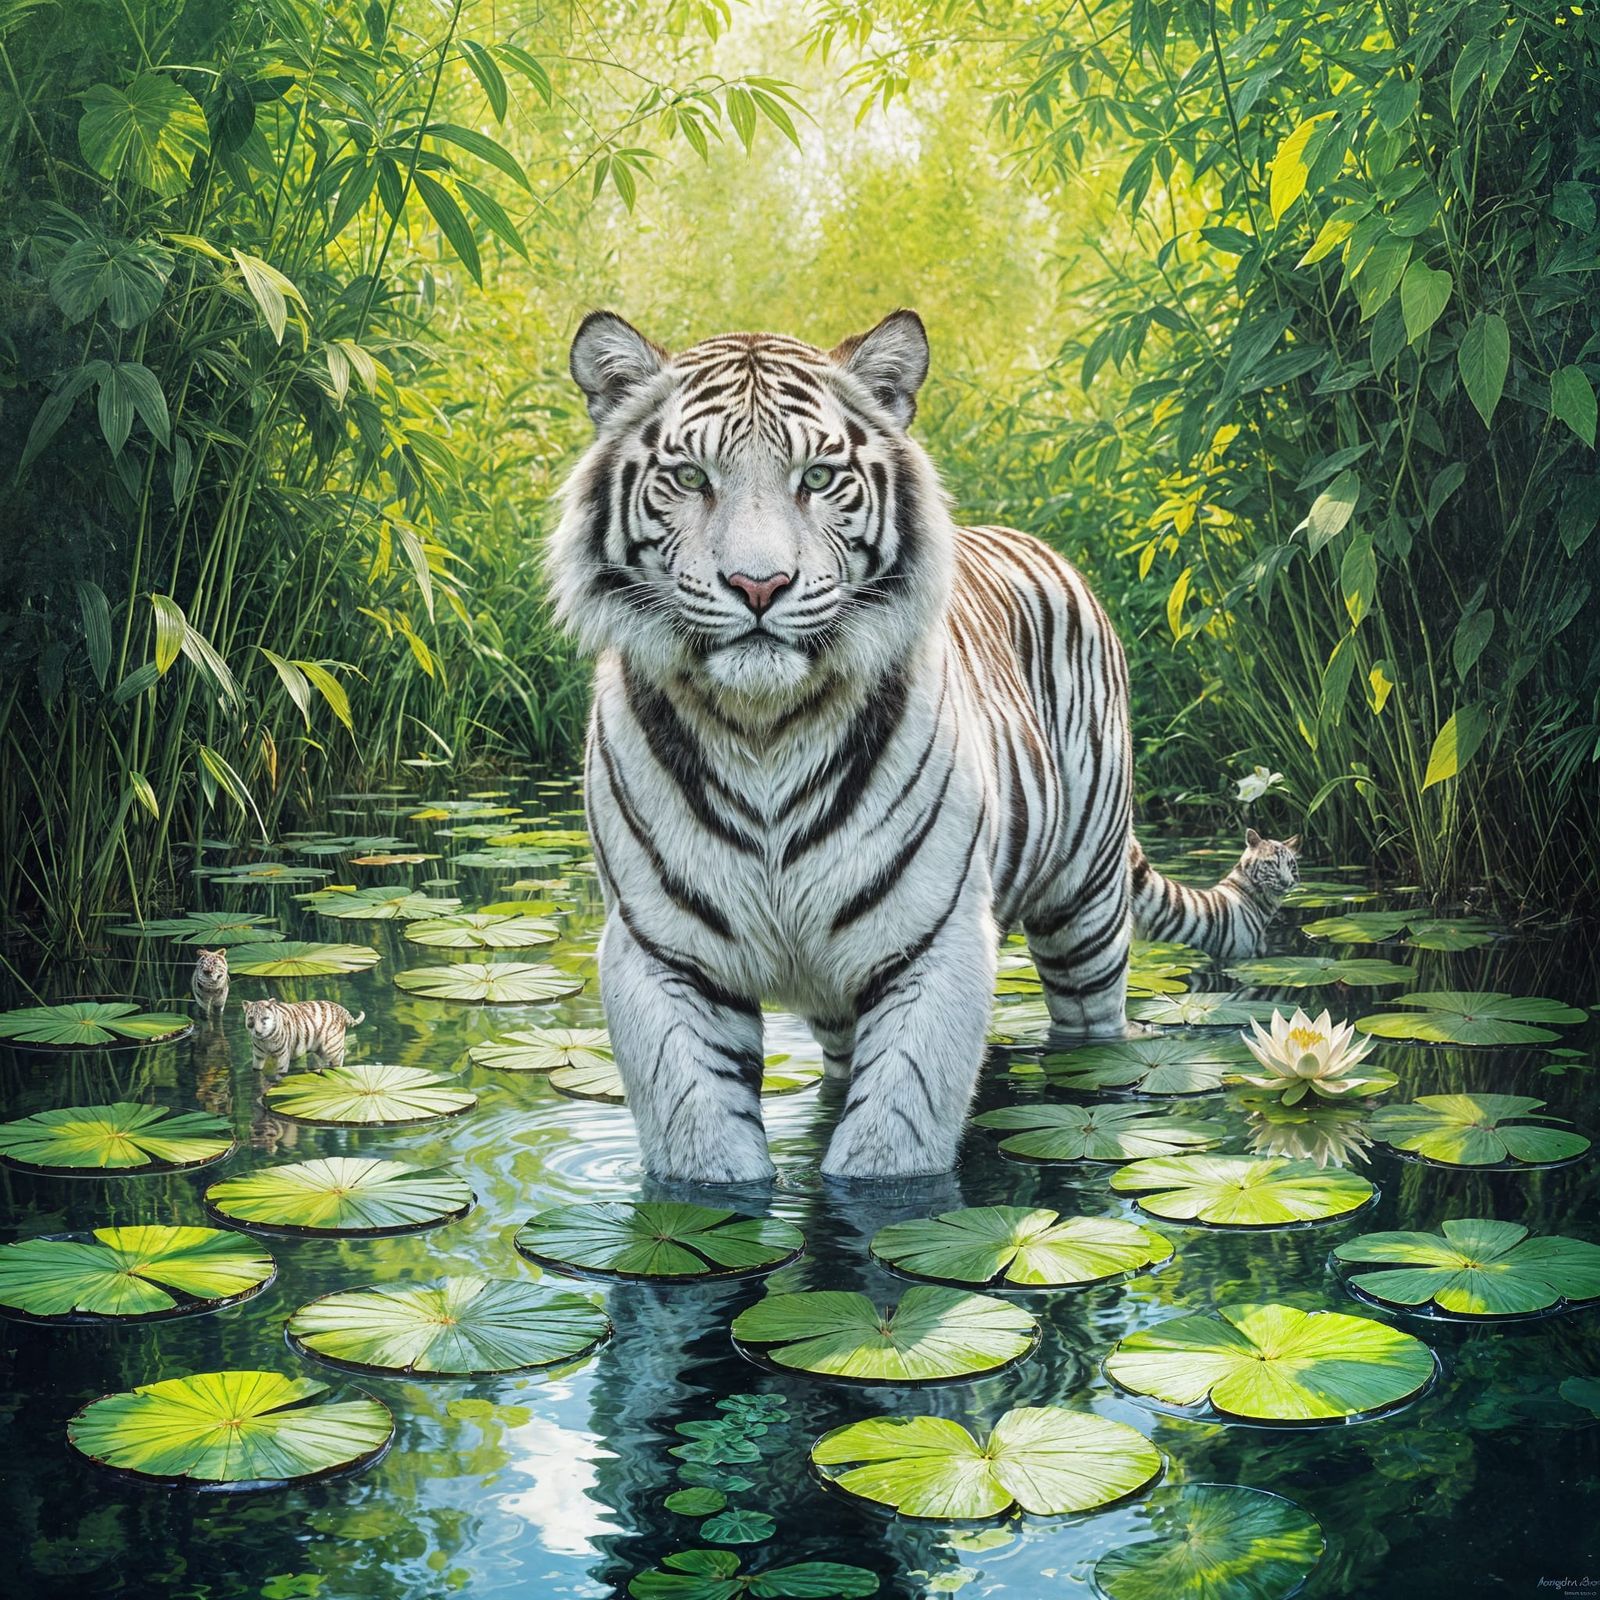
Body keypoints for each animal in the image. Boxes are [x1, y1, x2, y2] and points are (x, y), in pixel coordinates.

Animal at [548, 308, 1136, 1184]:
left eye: (818, 478)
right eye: (690, 478)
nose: (759, 585)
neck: (763, 727)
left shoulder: (934, 947)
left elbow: (890, 1151)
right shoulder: (663, 956)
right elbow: (702, 1152)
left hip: (1086, 912)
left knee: (1094, 1042)